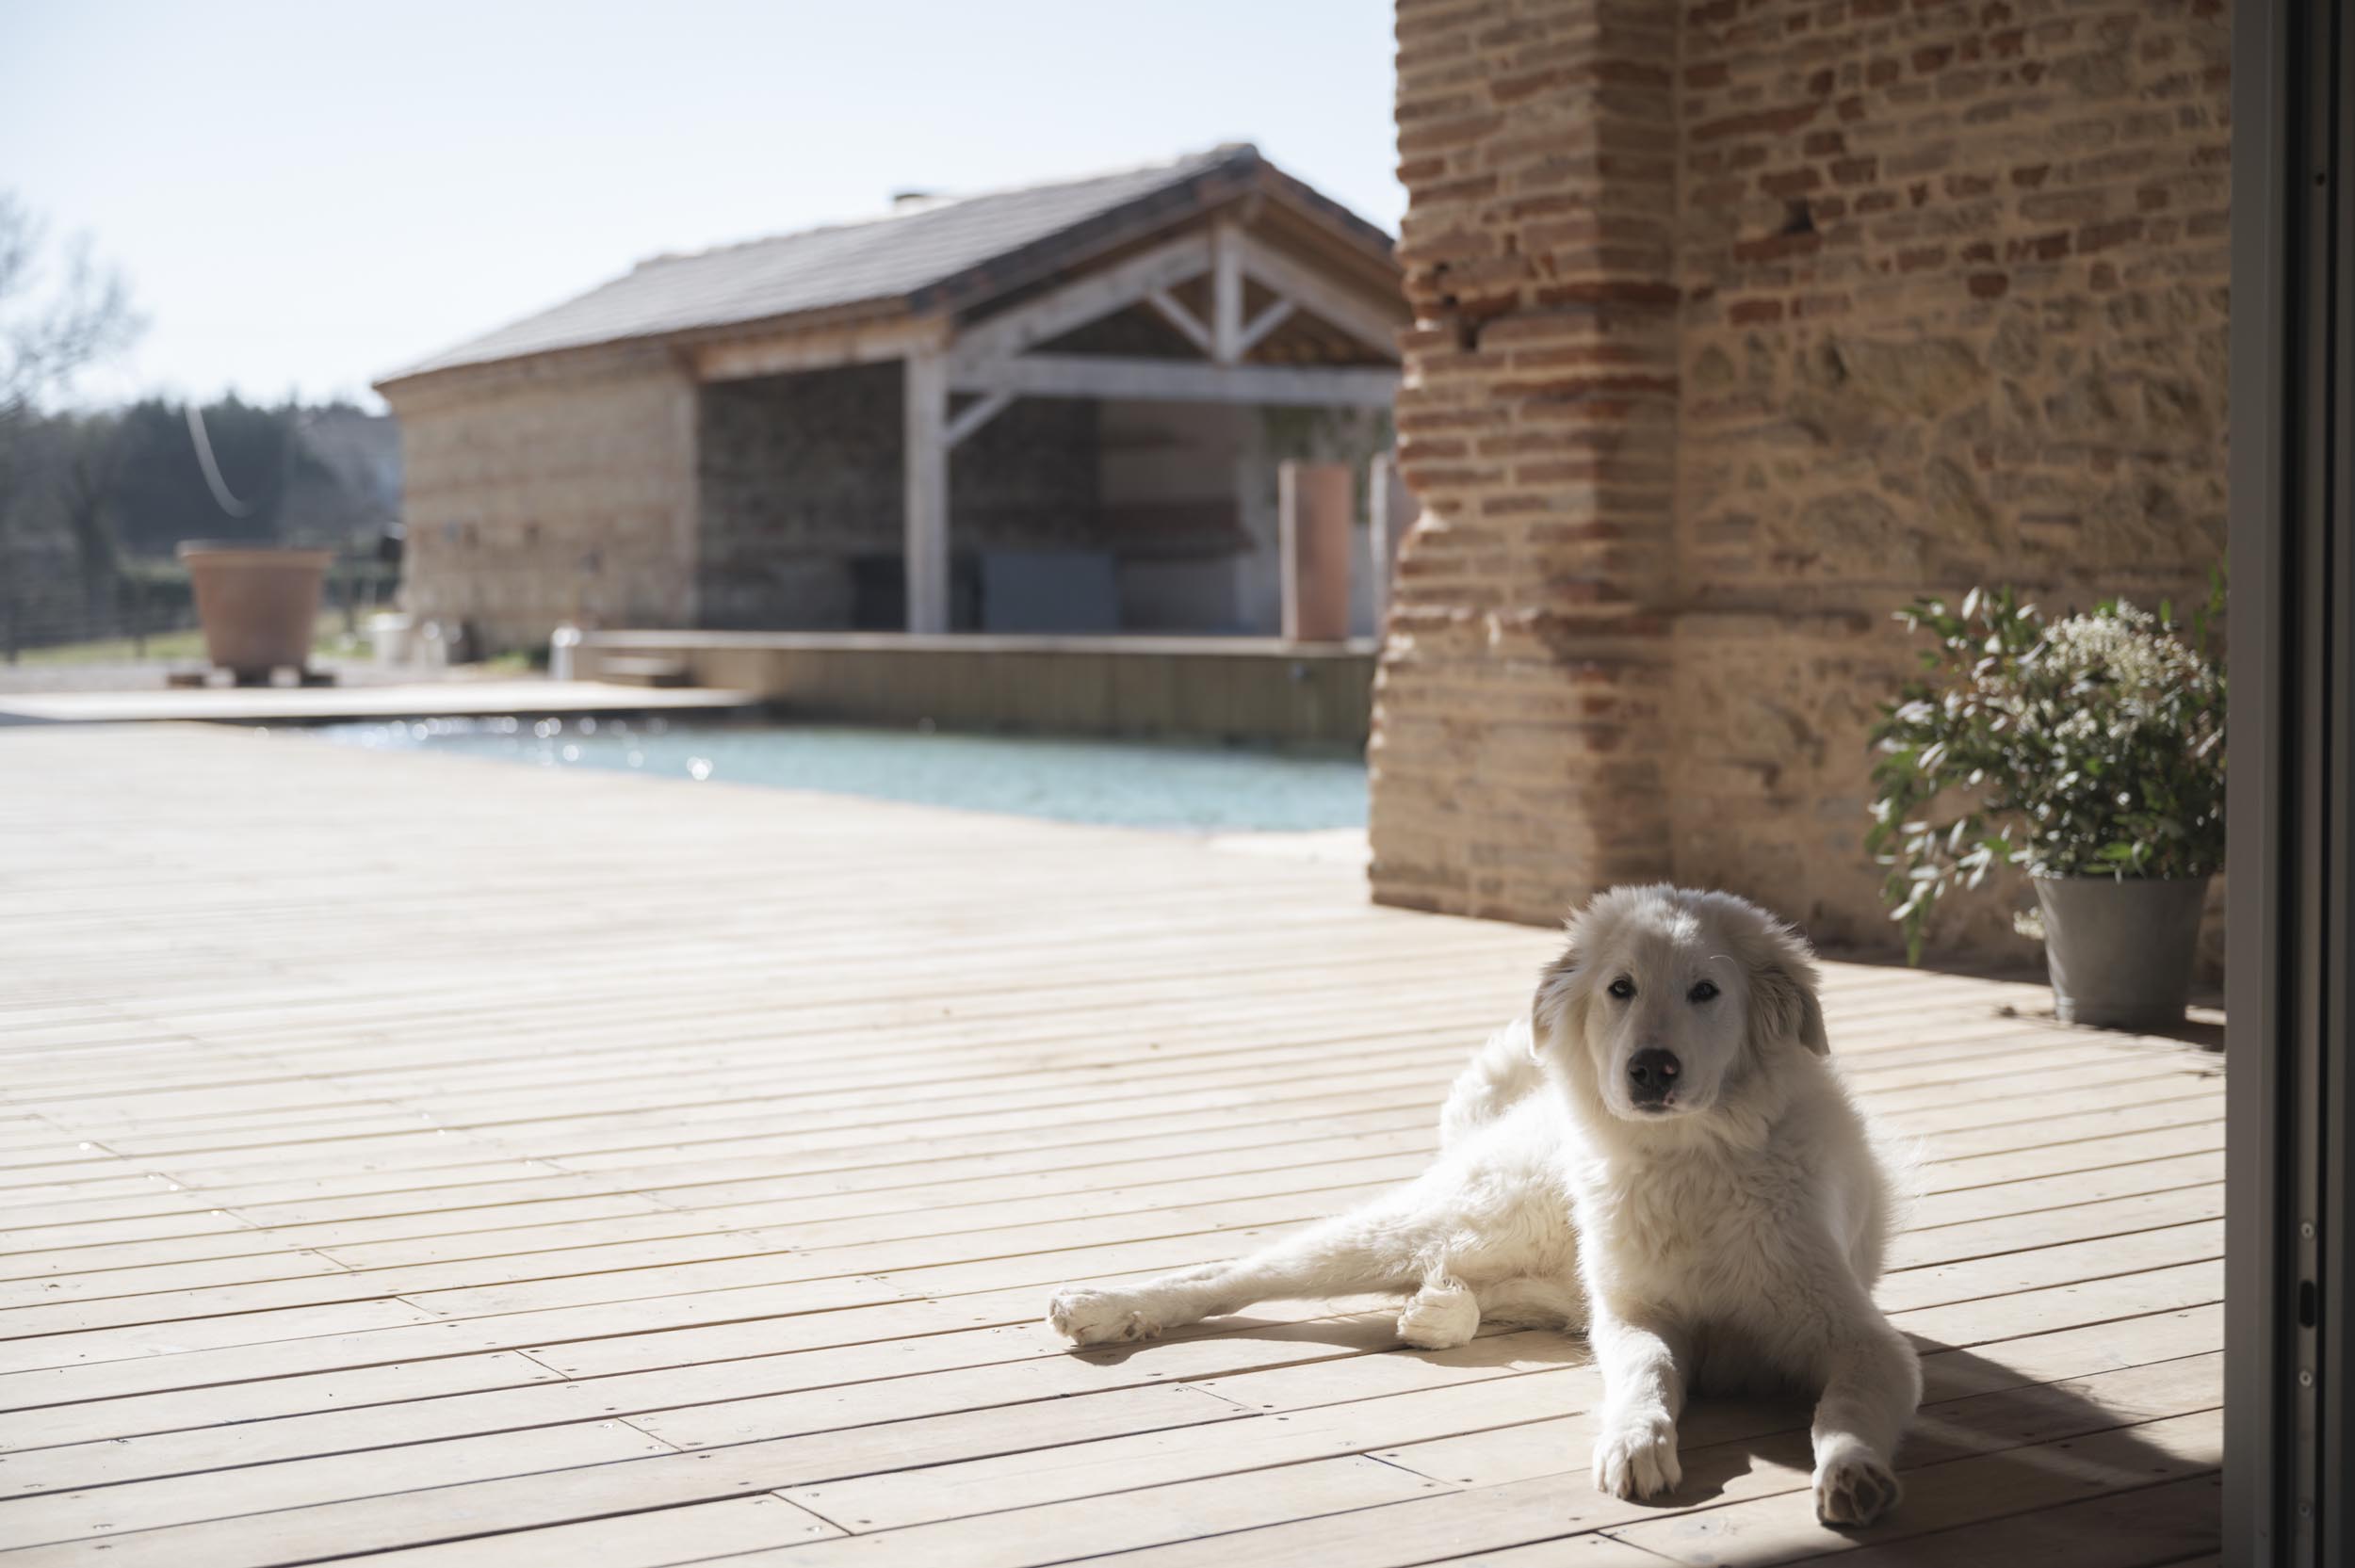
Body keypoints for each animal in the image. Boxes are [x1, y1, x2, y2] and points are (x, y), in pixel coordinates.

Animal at [1046, 885, 1912, 1516]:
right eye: (1620, 988)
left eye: (1706, 990)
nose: (1650, 1068)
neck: (1691, 1160)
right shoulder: (1639, 1318)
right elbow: (1644, 1377)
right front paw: (1635, 1441)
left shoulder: (1862, 1338)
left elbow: (1842, 1406)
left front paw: (1852, 1470)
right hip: (1440, 1224)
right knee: (1232, 1275)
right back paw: (1101, 1306)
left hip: (1527, 1266)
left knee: (1467, 1287)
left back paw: (1439, 1310)